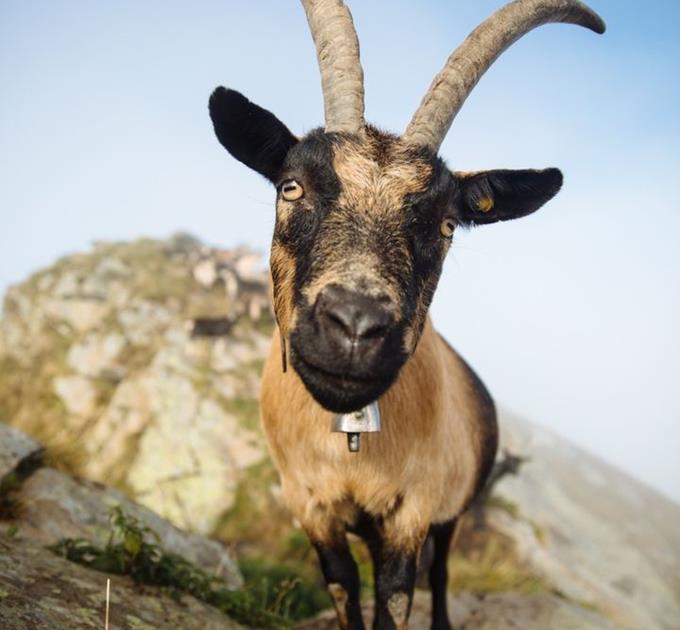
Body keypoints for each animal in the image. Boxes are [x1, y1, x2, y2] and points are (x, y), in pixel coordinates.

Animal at [209, 2, 604, 628]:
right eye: (291, 187)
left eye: (446, 225)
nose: (355, 325)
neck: (349, 445)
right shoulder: (309, 503)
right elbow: (345, 586)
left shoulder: (413, 508)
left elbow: (396, 596)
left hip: (454, 506)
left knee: (439, 570)